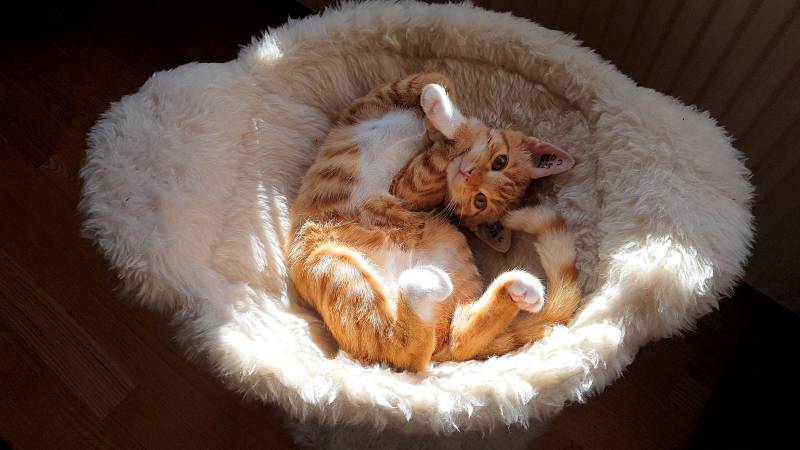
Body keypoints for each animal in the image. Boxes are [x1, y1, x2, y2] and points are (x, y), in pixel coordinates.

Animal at [288, 72, 582, 372]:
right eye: (500, 161)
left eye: (480, 201)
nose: (468, 175)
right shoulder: (371, 105)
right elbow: (436, 78)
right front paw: (439, 112)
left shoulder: (405, 188)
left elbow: (448, 139)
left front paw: (444, 118)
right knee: (458, 340)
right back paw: (518, 288)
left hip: (338, 268)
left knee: (416, 350)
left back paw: (426, 286)